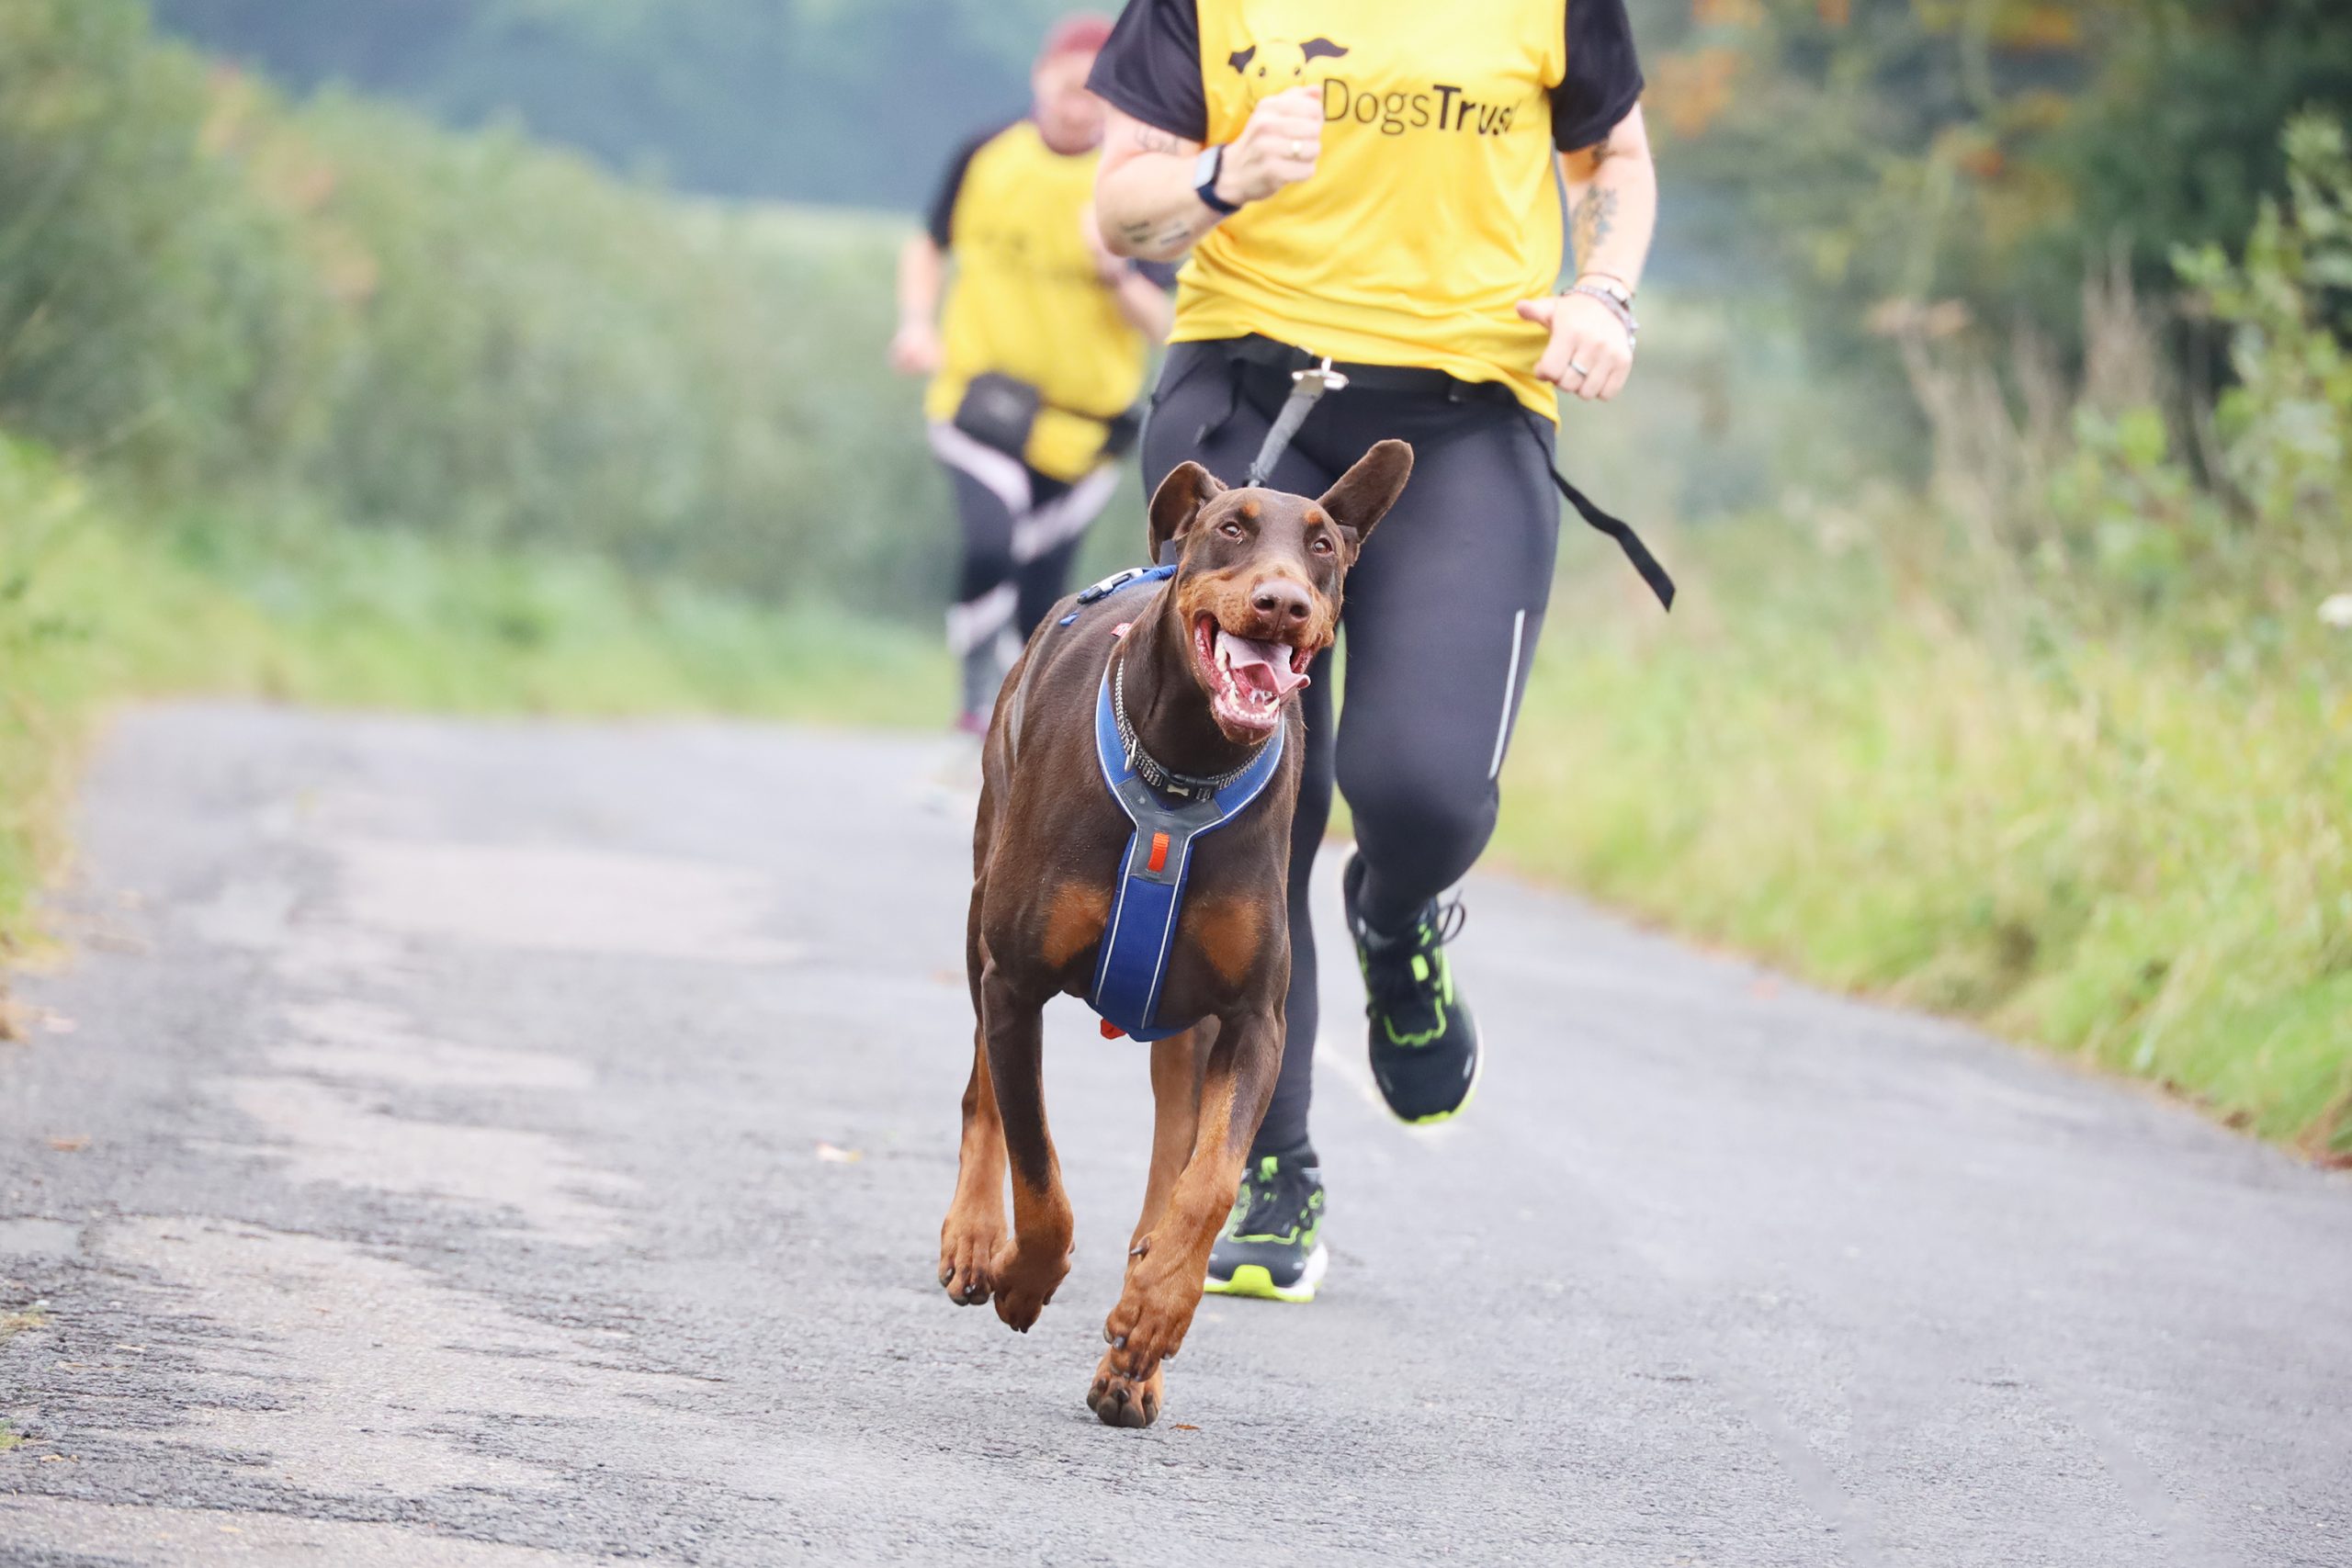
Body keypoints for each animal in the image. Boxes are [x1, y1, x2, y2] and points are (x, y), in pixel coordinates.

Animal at [935, 434, 1411, 1429]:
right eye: (1232, 528)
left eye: (1321, 546)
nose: (1282, 602)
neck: (1187, 768)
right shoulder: (1017, 983)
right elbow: (1038, 1167)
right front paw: (1023, 1277)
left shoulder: (1253, 1020)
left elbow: (1208, 1182)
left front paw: (1154, 1314)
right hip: (981, 913)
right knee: (980, 1091)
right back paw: (976, 1238)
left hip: (1187, 1033)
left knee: (1168, 1166)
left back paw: (1133, 1358)